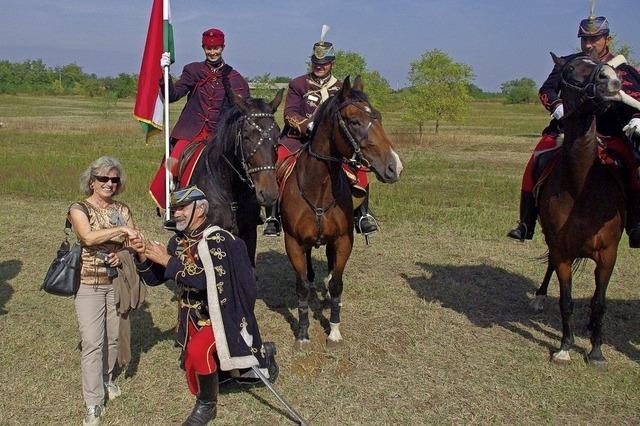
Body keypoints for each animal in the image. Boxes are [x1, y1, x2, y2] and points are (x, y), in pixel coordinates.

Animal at [278, 75, 402, 342]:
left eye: (378, 116)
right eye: (354, 121)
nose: (394, 167)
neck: (319, 187)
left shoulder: (344, 240)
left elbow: (336, 283)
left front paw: (334, 329)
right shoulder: (293, 242)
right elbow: (301, 287)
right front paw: (303, 332)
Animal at [532, 54, 628, 366]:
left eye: (601, 61)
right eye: (571, 69)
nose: (611, 80)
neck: (579, 186)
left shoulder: (608, 254)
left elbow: (599, 303)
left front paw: (596, 351)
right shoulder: (561, 249)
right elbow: (566, 300)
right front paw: (564, 346)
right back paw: (540, 297)